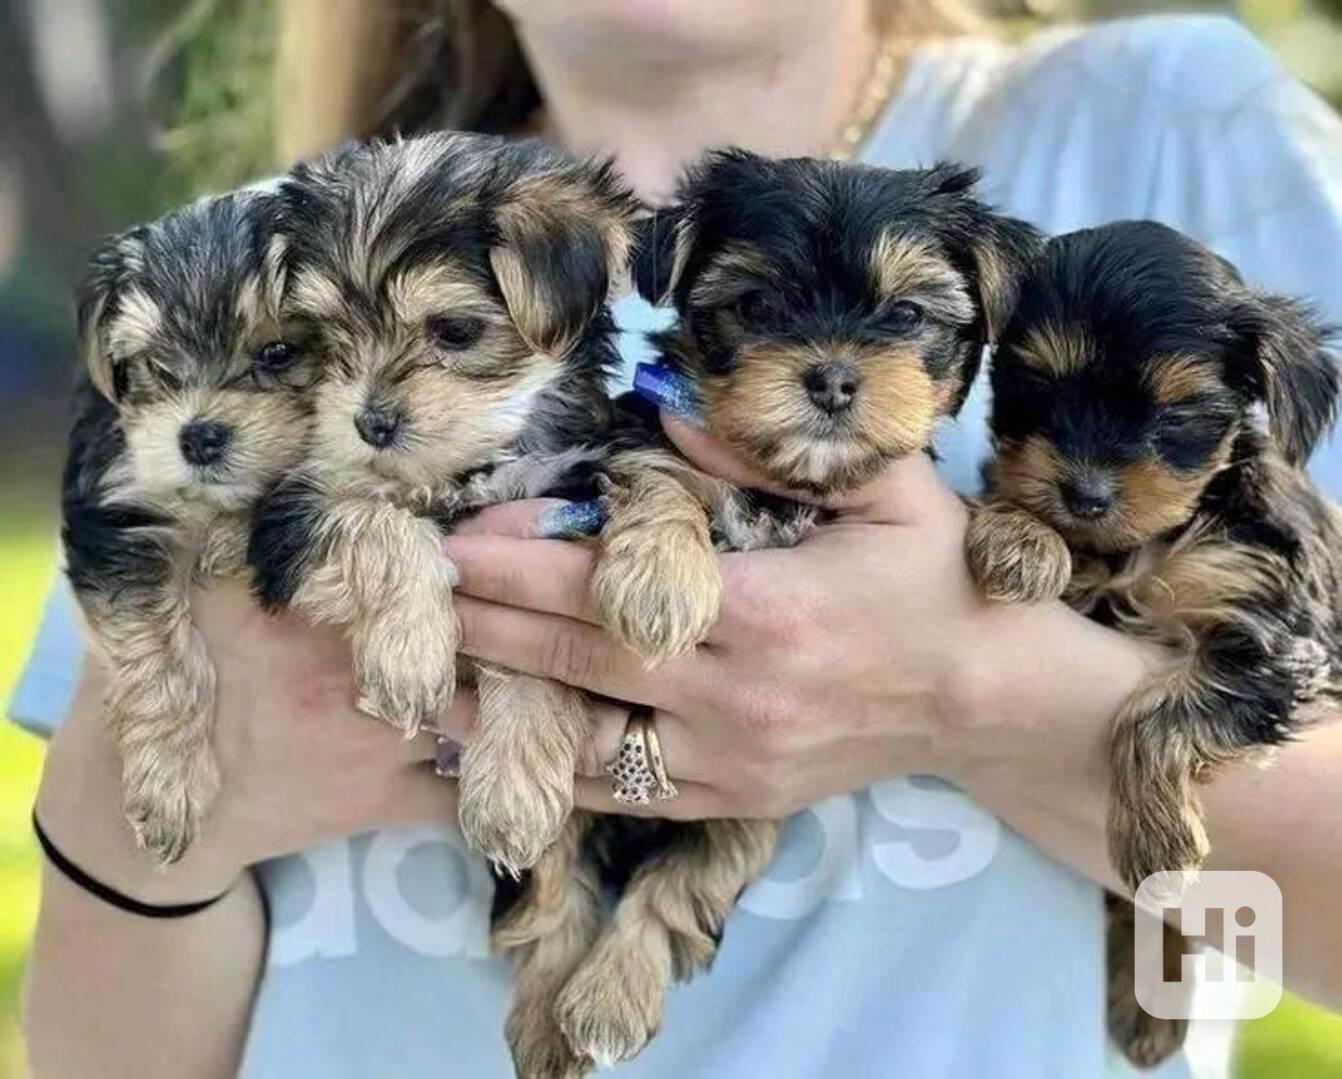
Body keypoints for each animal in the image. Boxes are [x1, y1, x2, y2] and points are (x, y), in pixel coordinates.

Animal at [66, 189, 312, 864]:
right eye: (157, 364)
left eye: (279, 353)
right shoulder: (114, 508)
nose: (198, 436)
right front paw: (168, 782)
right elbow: (155, 645)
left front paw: (228, 535)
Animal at [248, 132, 638, 875]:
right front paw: (409, 654)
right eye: (326, 335)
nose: (370, 422)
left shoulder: (557, 504)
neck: (464, 468)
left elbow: (533, 653)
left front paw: (512, 786)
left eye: (455, 330)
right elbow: (377, 522)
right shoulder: (294, 509)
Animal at [499, 153, 1041, 1079]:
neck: (784, 481)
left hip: (743, 815)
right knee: (550, 882)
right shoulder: (643, 439)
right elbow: (661, 478)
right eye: (755, 306)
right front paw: (660, 585)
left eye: (906, 314)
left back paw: (605, 999)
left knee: (679, 883)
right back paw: (548, 1019)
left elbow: (679, 891)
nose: (830, 376)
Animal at [966, 217, 1342, 1062]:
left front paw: (1156, 842)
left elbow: (1155, 713)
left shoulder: (1275, 629)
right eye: (1035, 386)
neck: (1148, 543)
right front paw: (1020, 533)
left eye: (1173, 415)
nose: (1084, 492)